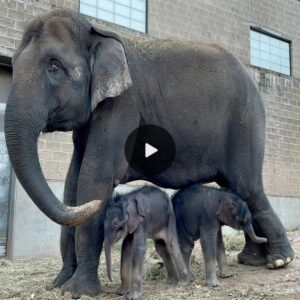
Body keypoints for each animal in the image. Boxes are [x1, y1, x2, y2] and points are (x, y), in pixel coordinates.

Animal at [4, 9, 292, 298]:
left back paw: (279, 261)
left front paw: (79, 291)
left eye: (53, 66)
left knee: (248, 186)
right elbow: (71, 183)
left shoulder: (122, 106)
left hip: (245, 124)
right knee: (235, 187)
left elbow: (92, 179)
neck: (96, 32)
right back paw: (252, 260)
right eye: (14, 64)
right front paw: (59, 284)